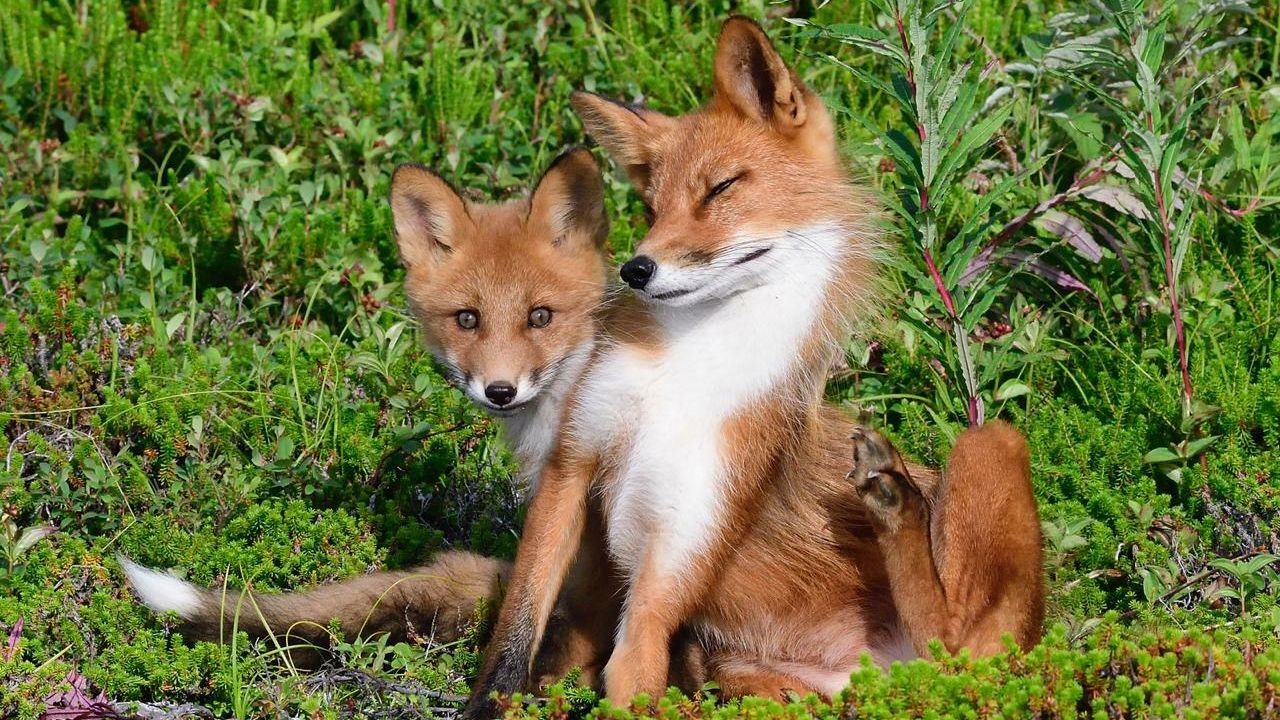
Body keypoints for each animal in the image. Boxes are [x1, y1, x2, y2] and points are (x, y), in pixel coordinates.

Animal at [464, 15, 1043, 717]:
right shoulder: (571, 470)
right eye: (651, 208)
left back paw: (896, 500)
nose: (636, 269)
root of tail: (889, 681)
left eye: (721, 189)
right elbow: (515, 633)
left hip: (991, 446)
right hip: (751, 678)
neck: (677, 384)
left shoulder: (683, 544)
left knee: (958, 644)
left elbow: (631, 671)